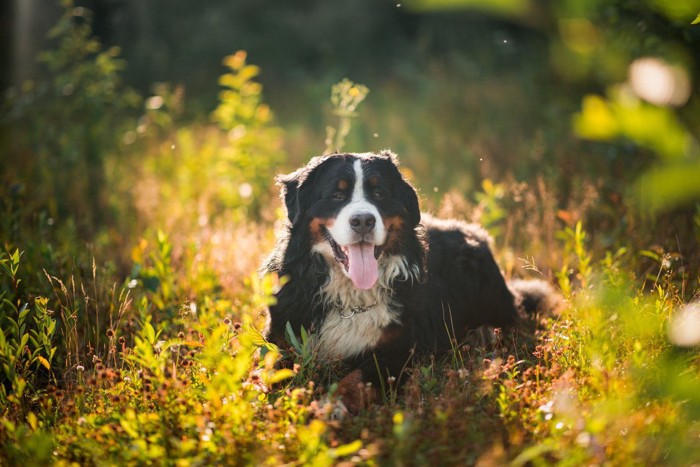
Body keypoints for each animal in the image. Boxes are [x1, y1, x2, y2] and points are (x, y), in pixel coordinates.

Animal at [262, 151, 556, 414]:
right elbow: (273, 373)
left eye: (379, 194)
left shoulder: (398, 352)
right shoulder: (282, 339)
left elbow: (355, 380)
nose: (363, 220)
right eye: (337, 195)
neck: (352, 299)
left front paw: (330, 407)